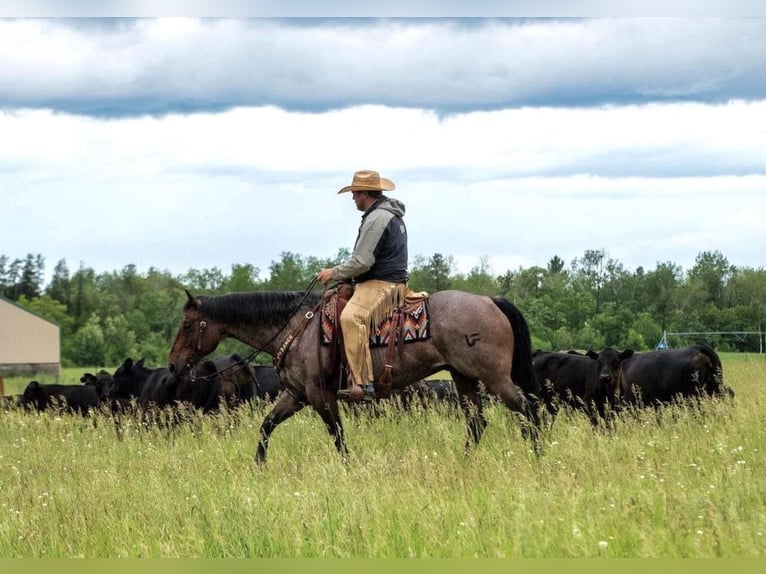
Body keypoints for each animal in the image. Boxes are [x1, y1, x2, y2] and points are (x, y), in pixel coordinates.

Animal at [167, 288, 543, 464]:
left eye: (186, 324)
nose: (172, 365)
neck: (296, 328)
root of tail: (490, 301)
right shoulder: (296, 395)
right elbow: (266, 426)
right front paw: (258, 467)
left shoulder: (320, 396)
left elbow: (337, 436)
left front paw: (349, 468)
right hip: (464, 377)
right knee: (477, 421)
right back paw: (464, 462)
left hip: (494, 378)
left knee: (529, 411)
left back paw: (539, 458)